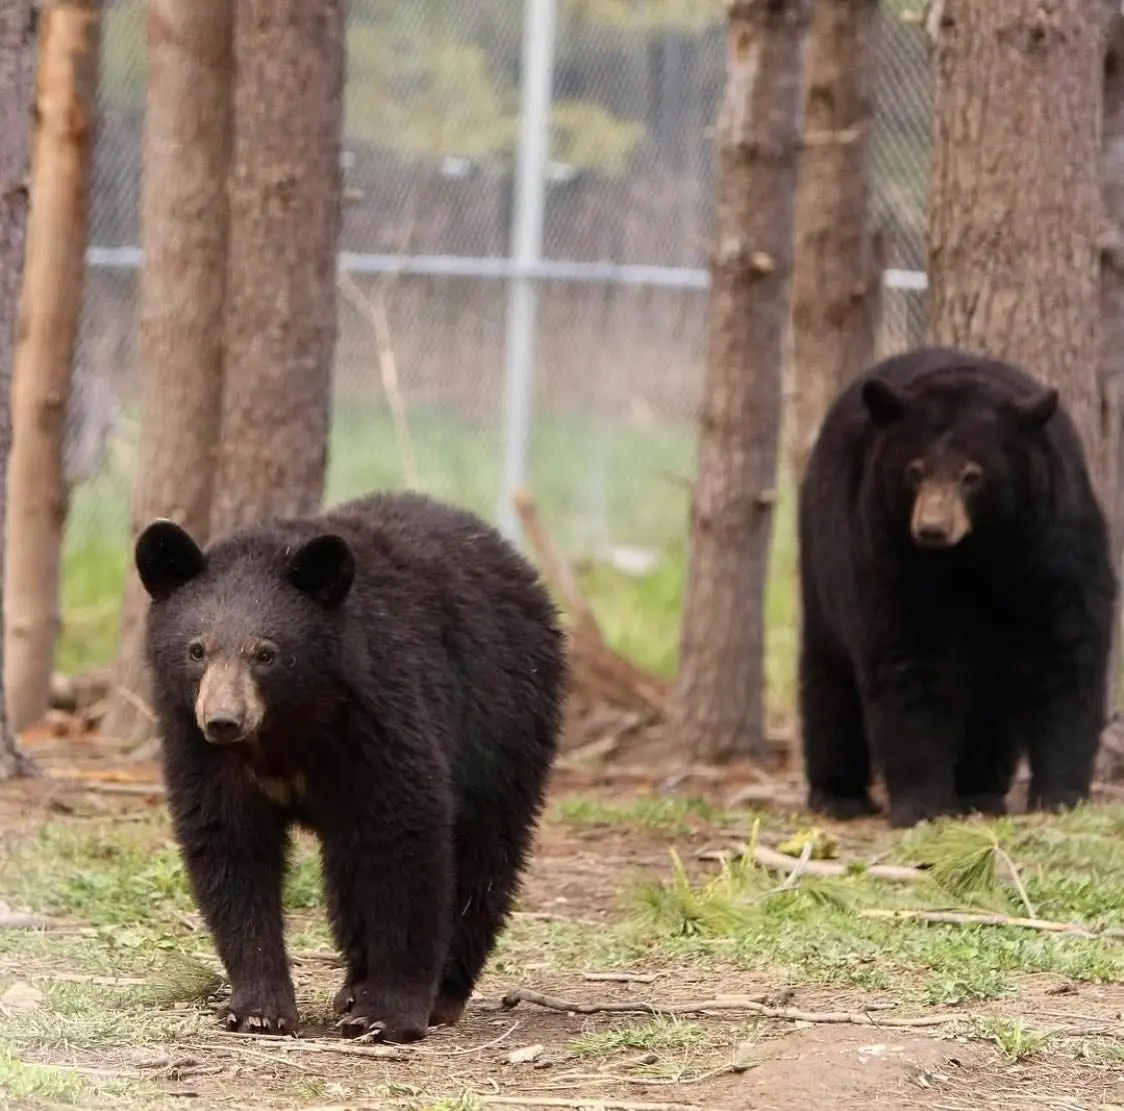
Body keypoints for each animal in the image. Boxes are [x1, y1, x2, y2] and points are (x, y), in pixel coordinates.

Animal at [134, 490, 569, 1041]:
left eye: (266, 653)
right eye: (196, 650)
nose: (224, 720)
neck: (288, 725)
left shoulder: (381, 715)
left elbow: (404, 842)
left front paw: (389, 1014)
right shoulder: (202, 753)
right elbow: (229, 847)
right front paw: (258, 1007)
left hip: (505, 720)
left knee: (484, 856)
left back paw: (442, 992)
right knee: (348, 871)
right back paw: (354, 985)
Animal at [797, 344, 1116, 829]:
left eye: (972, 475)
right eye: (914, 471)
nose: (932, 529)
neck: (974, 560)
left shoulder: (1053, 548)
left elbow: (1068, 653)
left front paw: (1060, 794)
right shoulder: (888, 553)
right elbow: (909, 662)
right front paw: (922, 804)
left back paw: (979, 789)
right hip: (821, 554)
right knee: (828, 674)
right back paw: (838, 795)